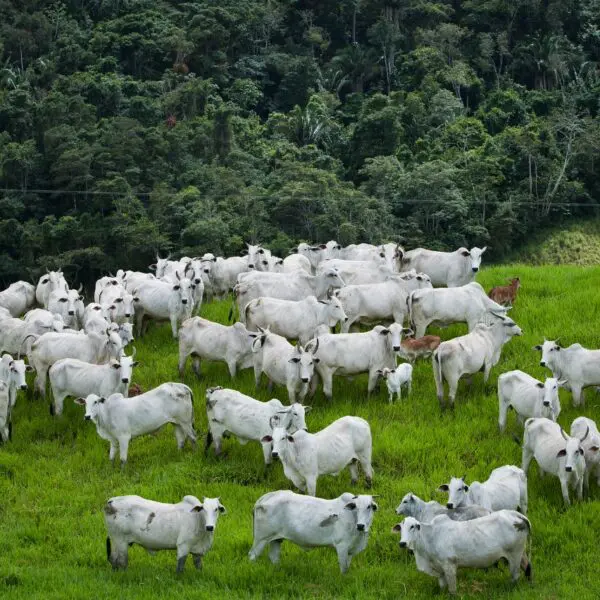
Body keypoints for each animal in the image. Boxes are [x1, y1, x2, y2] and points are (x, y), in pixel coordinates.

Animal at [248, 490, 376, 576]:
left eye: (369, 506)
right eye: (356, 507)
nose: (361, 526)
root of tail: (264, 498)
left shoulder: (350, 550)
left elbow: (347, 567)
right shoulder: (342, 546)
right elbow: (344, 568)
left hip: (276, 539)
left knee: (274, 557)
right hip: (261, 538)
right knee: (252, 555)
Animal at [396, 510, 532, 596]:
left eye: (412, 526)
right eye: (401, 528)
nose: (402, 543)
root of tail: (516, 514)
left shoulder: (449, 565)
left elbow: (452, 590)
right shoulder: (440, 570)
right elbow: (442, 586)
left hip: (514, 554)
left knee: (515, 575)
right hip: (521, 553)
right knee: (528, 567)